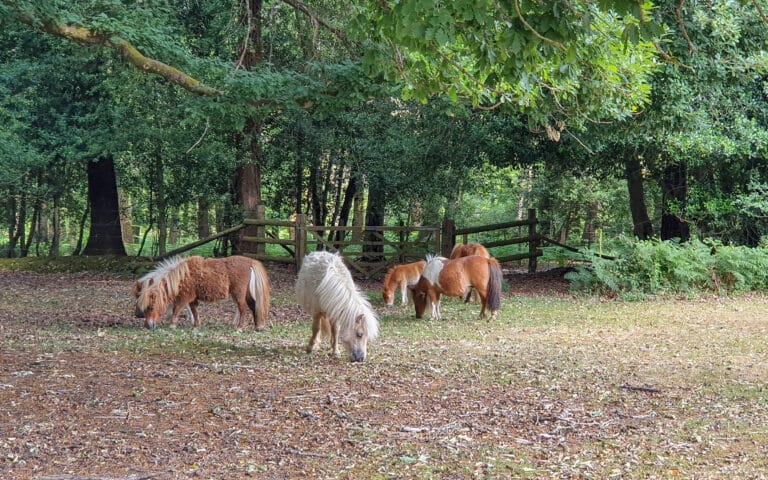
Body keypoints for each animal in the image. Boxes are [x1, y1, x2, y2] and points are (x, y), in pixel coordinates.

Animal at [134, 255, 271, 331]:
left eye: (151, 307)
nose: (148, 326)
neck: (181, 276)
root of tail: (251, 262)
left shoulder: (185, 297)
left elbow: (177, 309)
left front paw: (172, 325)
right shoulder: (192, 298)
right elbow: (194, 311)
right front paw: (196, 325)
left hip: (239, 294)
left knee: (243, 308)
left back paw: (239, 328)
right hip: (247, 294)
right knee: (253, 306)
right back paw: (258, 326)